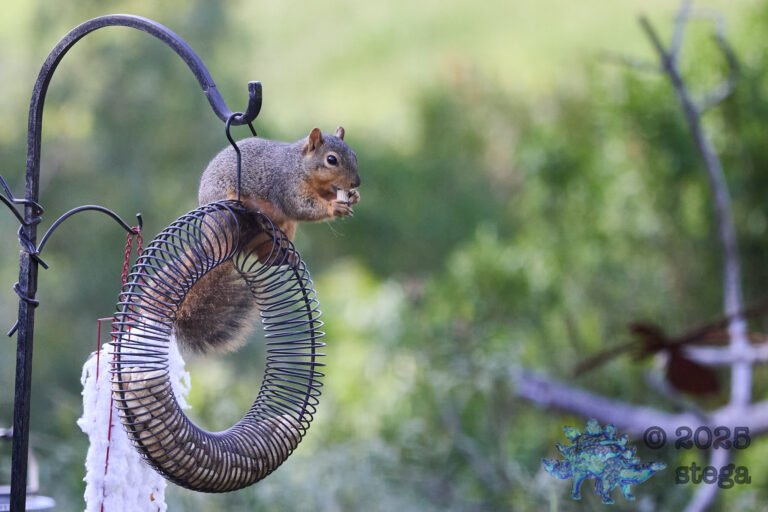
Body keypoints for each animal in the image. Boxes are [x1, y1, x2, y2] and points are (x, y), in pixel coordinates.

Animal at [174, 127, 360, 353]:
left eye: (354, 155)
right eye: (331, 159)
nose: (356, 182)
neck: (299, 166)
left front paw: (354, 196)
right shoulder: (287, 186)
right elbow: (302, 206)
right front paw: (334, 206)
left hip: (285, 229)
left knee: (265, 256)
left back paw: (284, 255)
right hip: (226, 212)